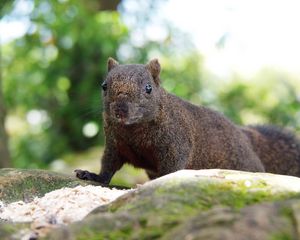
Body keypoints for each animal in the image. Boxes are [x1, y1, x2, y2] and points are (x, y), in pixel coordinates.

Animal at [74, 57, 300, 184]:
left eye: (148, 88)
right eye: (104, 85)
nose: (120, 110)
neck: (133, 130)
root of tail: (246, 137)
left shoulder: (176, 142)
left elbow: (172, 168)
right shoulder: (115, 144)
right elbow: (108, 165)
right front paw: (91, 175)